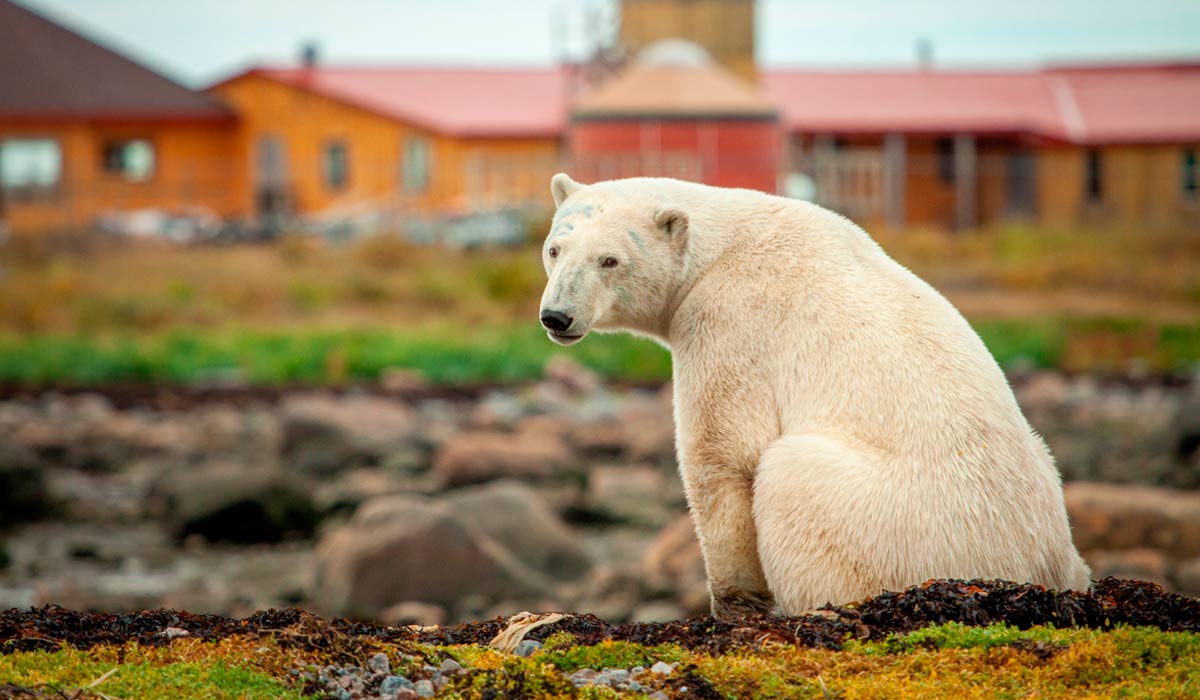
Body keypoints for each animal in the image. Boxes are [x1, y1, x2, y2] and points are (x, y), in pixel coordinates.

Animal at [540, 174, 1094, 619]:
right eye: (555, 249)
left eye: (610, 259)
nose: (557, 316)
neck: (718, 249)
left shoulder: (728, 318)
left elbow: (724, 454)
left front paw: (733, 606)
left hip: (892, 517)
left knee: (793, 476)